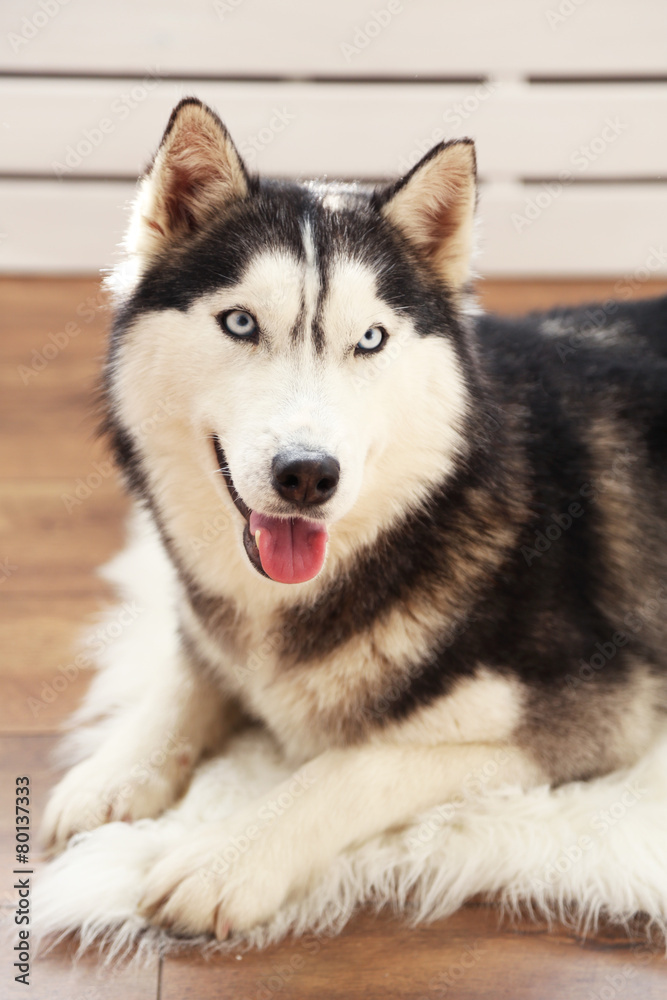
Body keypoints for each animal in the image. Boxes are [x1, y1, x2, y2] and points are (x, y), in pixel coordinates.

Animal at [43, 97, 667, 932]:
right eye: (240, 323)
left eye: (369, 339)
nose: (307, 475)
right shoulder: (215, 627)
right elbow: (191, 662)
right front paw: (113, 772)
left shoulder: (598, 713)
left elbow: (354, 764)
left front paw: (226, 855)